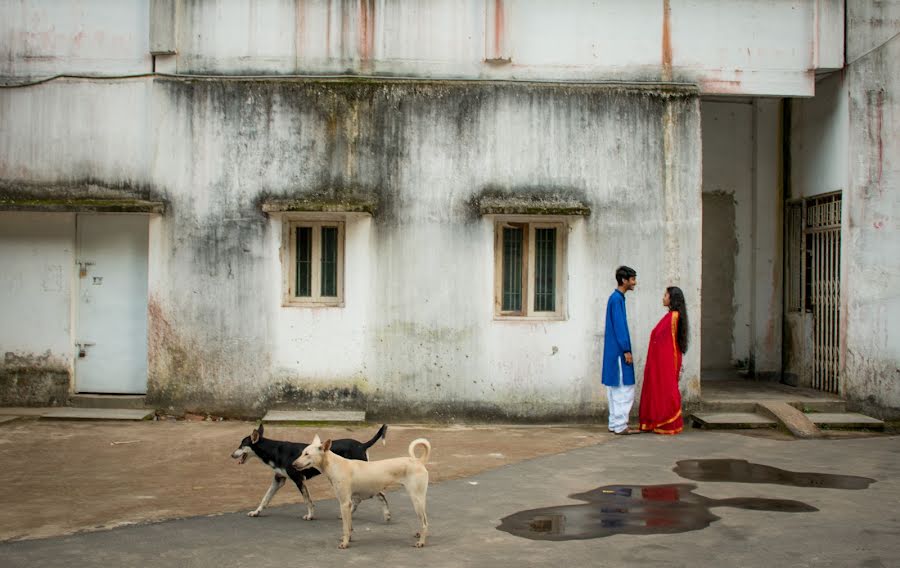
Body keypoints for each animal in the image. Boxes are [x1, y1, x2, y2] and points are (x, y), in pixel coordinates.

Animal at [230, 422, 388, 520]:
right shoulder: (279, 479)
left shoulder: (298, 479)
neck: (275, 450)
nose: (231, 455)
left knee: (374, 496)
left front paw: (310, 516)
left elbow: (308, 500)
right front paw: (256, 512)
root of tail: (362, 445)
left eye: (241, 445)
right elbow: (266, 498)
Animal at [290, 432, 428, 548]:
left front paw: (345, 543)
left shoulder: (344, 503)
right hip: (419, 501)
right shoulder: (349, 504)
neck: (335, 465)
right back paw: (419, 534)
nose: (293, 464)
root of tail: (418, 461)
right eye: (302, 453)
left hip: (416, 500)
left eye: (307, 454)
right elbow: (350, 526)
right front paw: (349, 539)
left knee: (425, 523)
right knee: (423, 520)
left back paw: (421, 542)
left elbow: (345, 527)